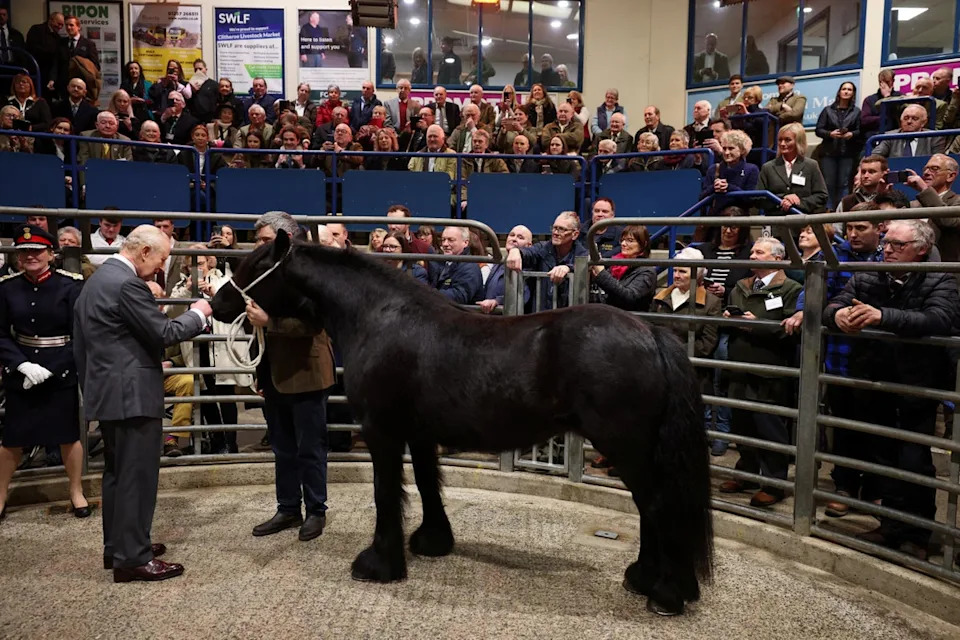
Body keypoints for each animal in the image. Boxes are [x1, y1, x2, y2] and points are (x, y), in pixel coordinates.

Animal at [210, 230, 714, 616]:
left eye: (253, 264)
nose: (217, 304)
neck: (378, 317)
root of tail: (651, 333)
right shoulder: (419, 433)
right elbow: (427, 484)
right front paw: (432, 541)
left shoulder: (381, 432)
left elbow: (386, 494)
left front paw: (378, 564)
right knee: (652, 509)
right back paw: (647, 579)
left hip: (626, 447)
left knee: (658, 507)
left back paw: (665, 594)